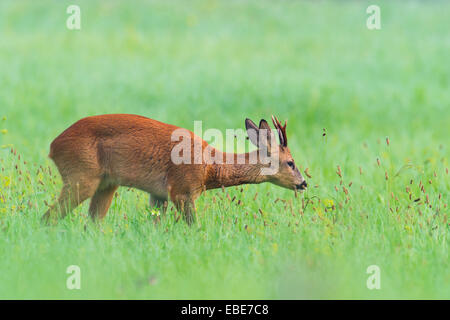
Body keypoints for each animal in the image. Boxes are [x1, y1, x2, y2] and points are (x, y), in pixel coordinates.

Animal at [42, 115, 308, 225]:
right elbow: (194, 227)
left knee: (91, 223)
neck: (210, 167)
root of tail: (53, 146)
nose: (304, 183)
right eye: (291, 162)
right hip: (81, 175)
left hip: (107, 184)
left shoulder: (158, 194)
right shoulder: (182, 189)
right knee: (48, 218)